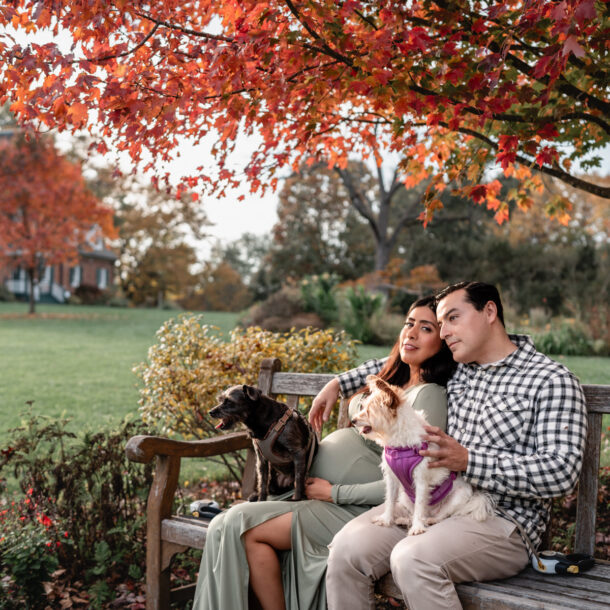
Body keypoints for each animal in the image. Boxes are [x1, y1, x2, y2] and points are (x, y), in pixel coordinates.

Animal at [350, 372, 492, 536]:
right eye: (362, 408)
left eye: (368, 412)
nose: (352, 420)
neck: (400, 446)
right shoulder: (392, 478)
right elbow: (390, 501)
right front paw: (386, 519)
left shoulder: (421, 481)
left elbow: (419, 505)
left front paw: (417, 528)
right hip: (405, 496)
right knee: (415, 512)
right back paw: (405, 520)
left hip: (459, 496)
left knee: (440, 515)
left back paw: (429, 521)